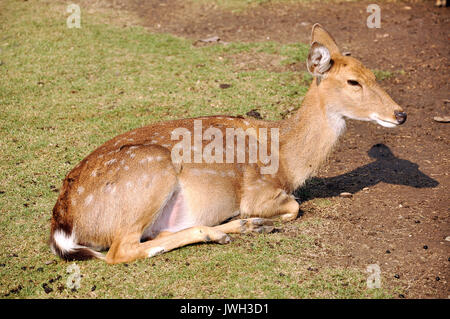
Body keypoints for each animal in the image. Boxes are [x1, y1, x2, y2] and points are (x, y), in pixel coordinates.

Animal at [50, 25, 408, 264]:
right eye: (353, 82)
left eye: (373, 74)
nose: (400, 113)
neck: (287, 160)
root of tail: (62, 222)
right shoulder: (258, 191)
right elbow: (295, 206)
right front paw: (257, 219)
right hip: (152, 171)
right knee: (120, 251)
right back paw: (224, 230)